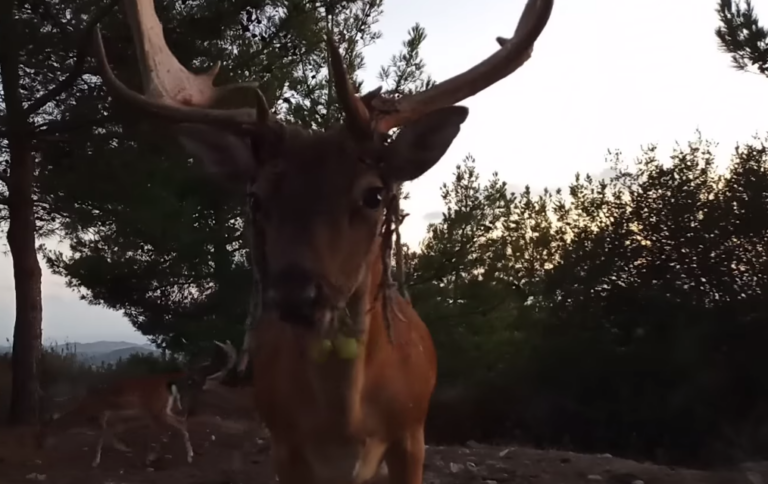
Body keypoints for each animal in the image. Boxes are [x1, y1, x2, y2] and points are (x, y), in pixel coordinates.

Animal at [36, 338, 234, 466]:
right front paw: (123, 447)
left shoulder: (103, 413)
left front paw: (96, 461)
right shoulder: (112, 415)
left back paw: (169, 457)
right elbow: (110, 432)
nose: (40, 446)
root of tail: (168, 381)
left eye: (44, 432)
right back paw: (181, 455)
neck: (85, 407)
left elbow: (101, 435)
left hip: (156, 409)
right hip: (163, 408)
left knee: (173, 426)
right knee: (180, 421)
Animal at [93, 0, 556, 480]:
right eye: (256, 198)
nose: (296, 295)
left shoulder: (412, 433)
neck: (346, 425)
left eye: (375, 195)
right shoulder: (286, 444)